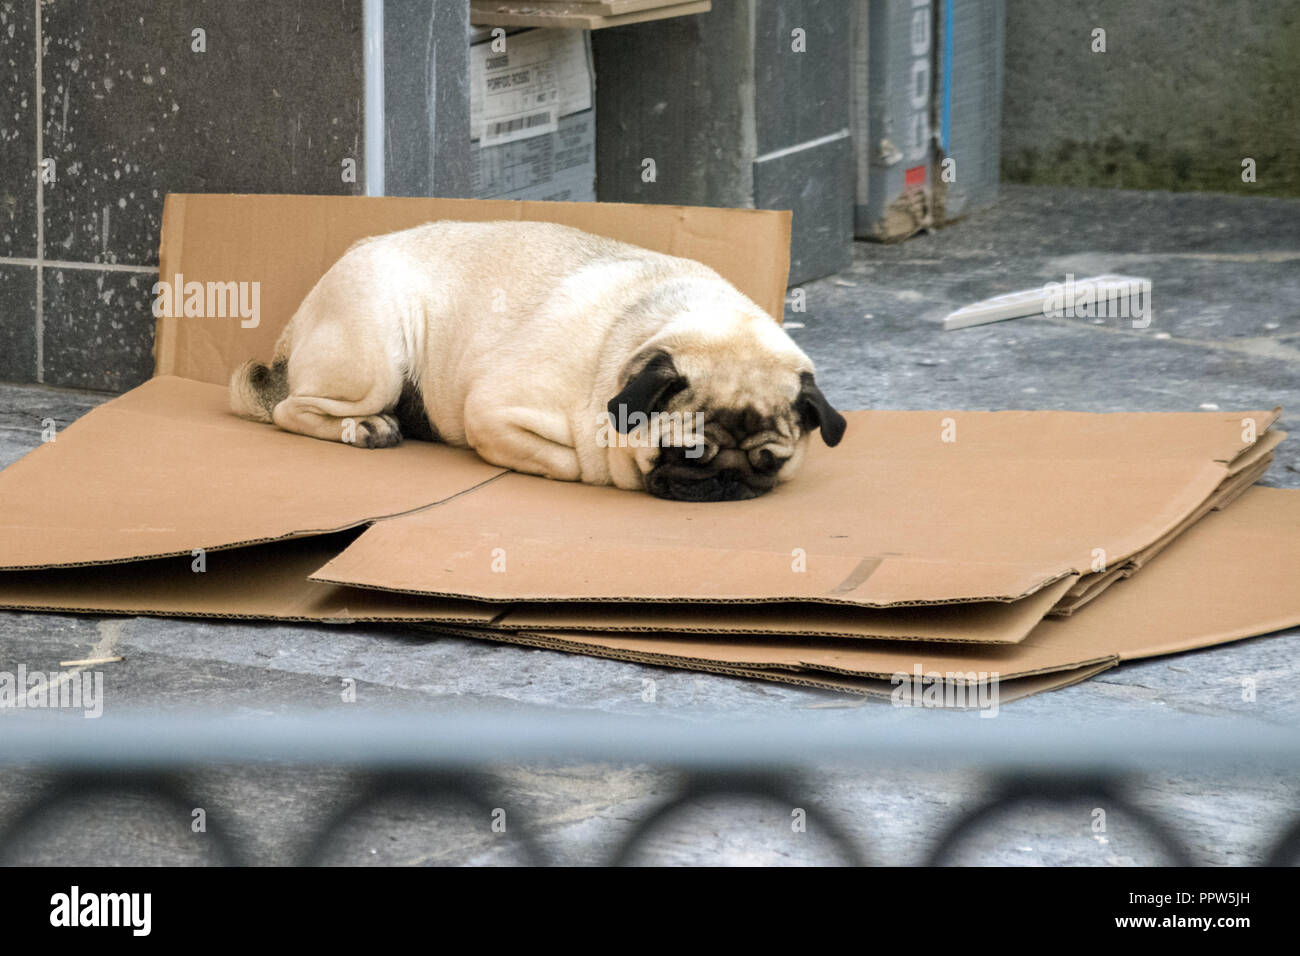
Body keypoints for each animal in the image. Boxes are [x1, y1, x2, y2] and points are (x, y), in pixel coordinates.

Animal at [231, 218, 842, 502]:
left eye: (768, 461)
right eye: (689, 451)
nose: (730, 478)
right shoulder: (491, 414)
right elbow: (574, 462)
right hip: (375, 358)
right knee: (292, 410)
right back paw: (366, 428)